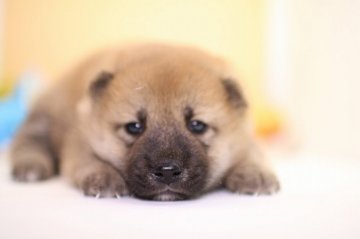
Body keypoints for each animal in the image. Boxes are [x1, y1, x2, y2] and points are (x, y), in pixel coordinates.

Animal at [9, 44, 280, 201]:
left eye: (197, 125)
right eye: (134, 127)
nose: (167, 171)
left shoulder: (245, 136)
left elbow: (252, 152)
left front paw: (255, 173)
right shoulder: (79, 140)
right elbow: (88, 160)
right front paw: (105, 176)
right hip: (44, 117)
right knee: (28, 140)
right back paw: (30, 165)